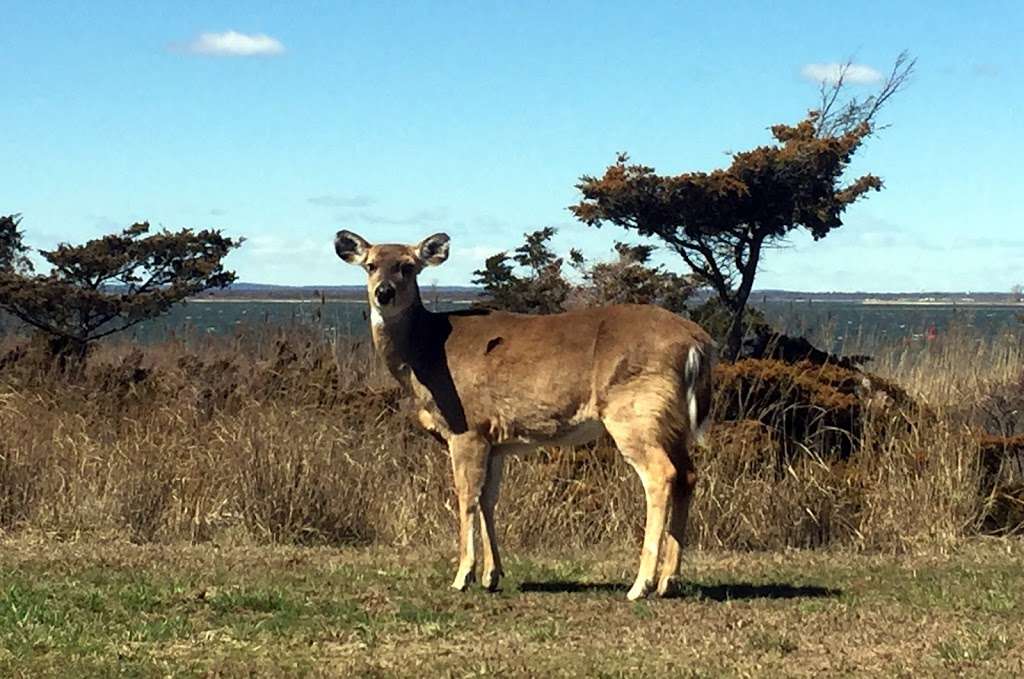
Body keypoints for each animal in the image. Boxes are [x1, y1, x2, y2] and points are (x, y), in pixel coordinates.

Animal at [333, 229, 712, 602]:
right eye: (370, 265)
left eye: (408, 266)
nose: (383, 293)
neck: (426, 355)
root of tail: (698, 343)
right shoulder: (495, 440)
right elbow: (488, 499)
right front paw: (491, 575)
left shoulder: (467, 428)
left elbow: (465, 496)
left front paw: (462, 576)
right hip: (671, 419)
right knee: (688, 475)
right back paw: (668, 580)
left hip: (634, 411)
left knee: (662, 474)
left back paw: (640, 585)